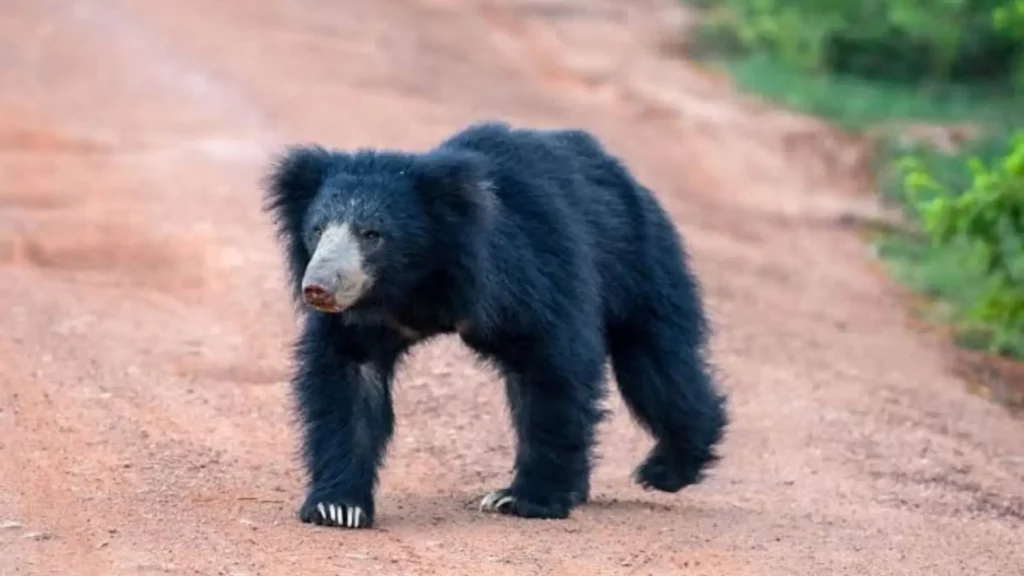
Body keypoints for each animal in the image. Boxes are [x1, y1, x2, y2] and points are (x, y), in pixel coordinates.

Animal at [263, 120, 728, 529]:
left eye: (372, 234)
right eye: (317, 230)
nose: (318, 288)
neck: (417, 282)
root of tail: (621, 173)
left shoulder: (528, 273)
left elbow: (552, 370)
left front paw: (524, 500)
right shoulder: (364, 317)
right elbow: (348, 381)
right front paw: (337, 507)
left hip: (639, 260)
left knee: (656, 365)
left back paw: (667, 468)